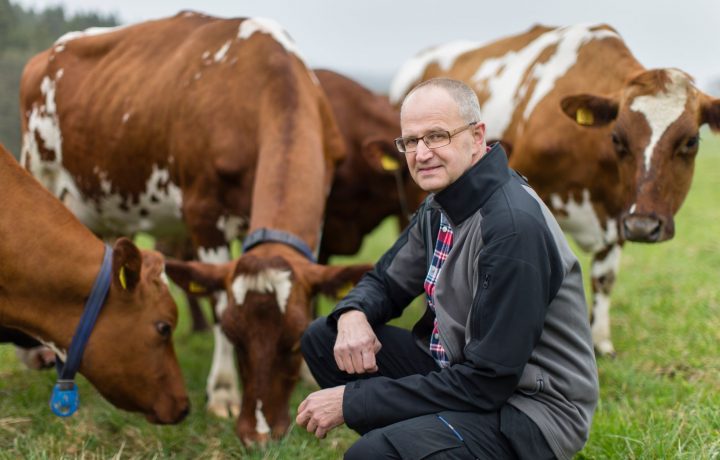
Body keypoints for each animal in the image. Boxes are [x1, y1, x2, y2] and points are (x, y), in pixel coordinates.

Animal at [19, 9, 372, 442]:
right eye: (237, 338)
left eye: (294, 340)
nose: (259, 433)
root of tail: (50, 52)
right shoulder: (204, 215)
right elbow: (219, 306)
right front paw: (222, 393)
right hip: (42, 175)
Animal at [388, 23, 720, 358]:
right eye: (616, 138)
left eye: (691, 141)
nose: (643, 226)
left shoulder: (620, 212)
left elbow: (605, 277)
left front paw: (601, 341)